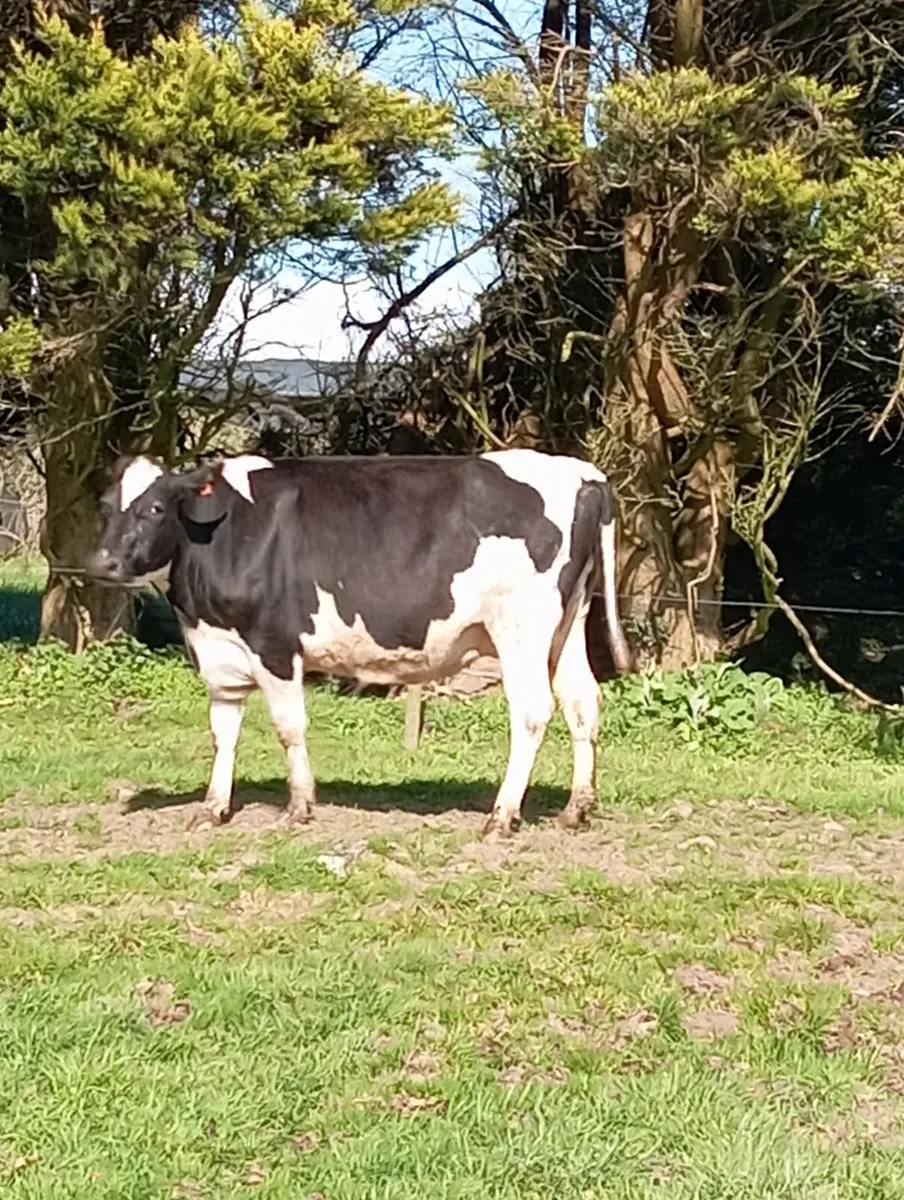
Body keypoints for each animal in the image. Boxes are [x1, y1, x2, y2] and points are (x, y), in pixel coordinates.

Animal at [87, 450, 633, 838]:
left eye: (155, 507)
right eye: (106, 507)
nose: (103, 562)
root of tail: (584, 473)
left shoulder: (274, 645)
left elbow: (289, 728)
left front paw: (300, 807)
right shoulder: (220, 652)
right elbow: (224, 734)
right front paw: (213, 807)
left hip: (522, 628)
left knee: (532, 711)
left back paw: (502, 816)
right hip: (568, 623)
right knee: (582, 701)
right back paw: (576, 809)